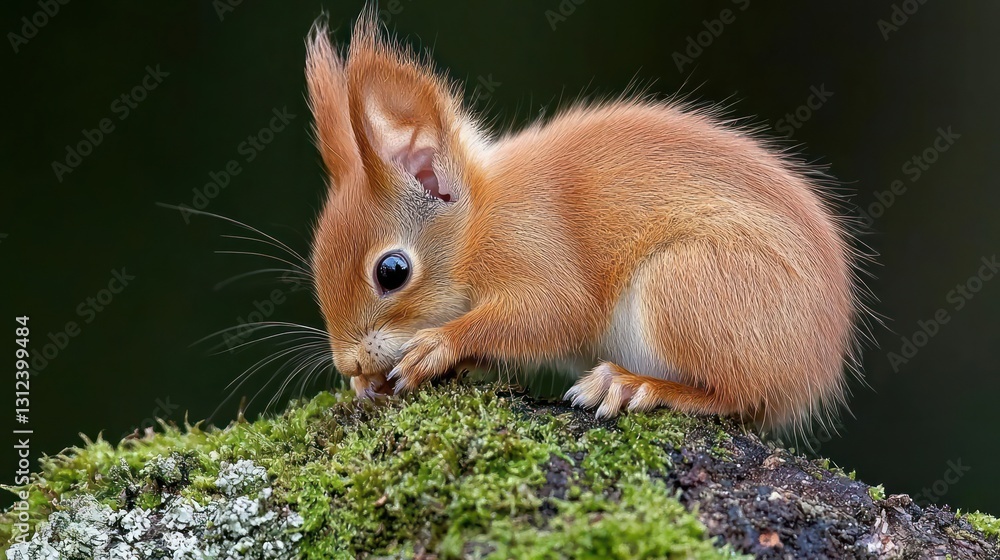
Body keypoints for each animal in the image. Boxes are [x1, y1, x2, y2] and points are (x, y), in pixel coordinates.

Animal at [306, 11, 867, 432]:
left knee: (737, 396)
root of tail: (814, 371)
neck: (479, 222)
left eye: (392, 272)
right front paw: (370, 384)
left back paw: (633, 384)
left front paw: (437, 345)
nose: (349, 363)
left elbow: (553, 311)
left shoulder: (533, 242)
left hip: (686, 283)